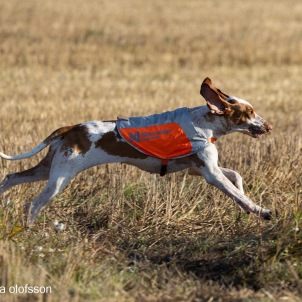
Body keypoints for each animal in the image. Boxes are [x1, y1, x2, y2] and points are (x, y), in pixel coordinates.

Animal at [0, 78, 272, 226]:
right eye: (249, 112)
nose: (269, 126)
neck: (204, 122)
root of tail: (73, 128)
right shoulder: (210, 174)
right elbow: (237, 193)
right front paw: (261, 211)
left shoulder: (197, 169)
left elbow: (236, 178)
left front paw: (244, 205)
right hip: (60, 178)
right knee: (32, 204)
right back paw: (29, 230)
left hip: (49, 170)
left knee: (10, 178)